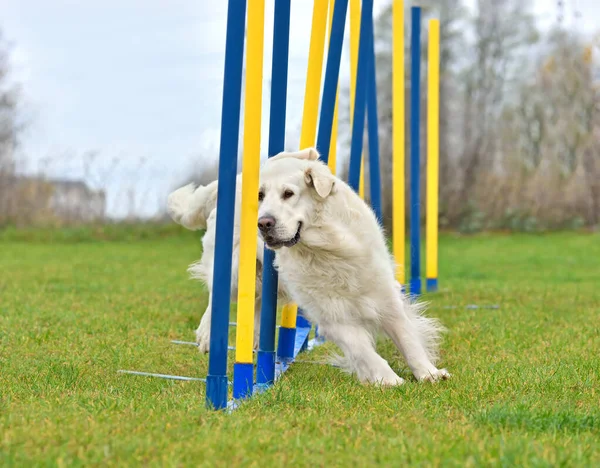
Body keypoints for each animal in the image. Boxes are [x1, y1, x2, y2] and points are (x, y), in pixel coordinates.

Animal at [169, 149, 450, 384]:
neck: (327, 246)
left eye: (288, 194)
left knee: (256, 303)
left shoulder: (385, 296)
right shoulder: (332, 316)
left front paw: (429, 373)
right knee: (218, 296)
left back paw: (255, 341)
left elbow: (408, 339)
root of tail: (237, 179)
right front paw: (388, 379)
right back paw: (207, 336)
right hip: (237, 270)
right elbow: (363, 350)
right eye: (260, 196)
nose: (263, 223)